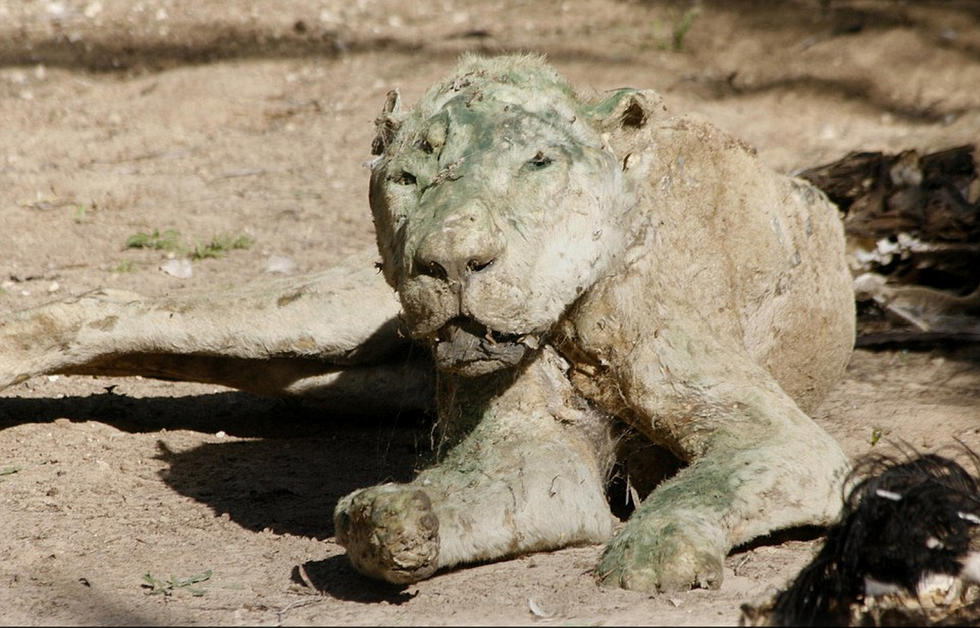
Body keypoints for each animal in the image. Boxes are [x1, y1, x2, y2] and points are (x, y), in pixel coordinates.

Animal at [0, 55, 852, 592]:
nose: (451, 262)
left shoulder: (784, 437)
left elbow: (708, 483)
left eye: (538, 163)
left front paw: (654, 551)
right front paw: (392, 519)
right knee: (113, 310)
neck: (565, 323)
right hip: (320, 315)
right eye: (409, 176)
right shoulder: (526, 447)